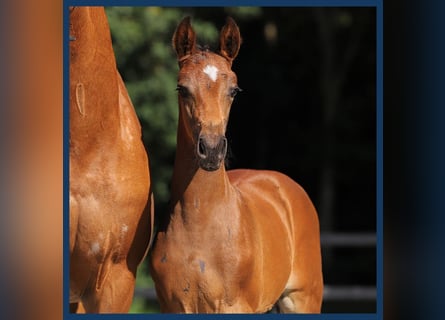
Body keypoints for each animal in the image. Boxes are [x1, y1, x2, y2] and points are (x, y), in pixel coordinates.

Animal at [149, 16, 322, 312]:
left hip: (303, 299)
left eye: (234, 91)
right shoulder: (173, 306)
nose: (211, 150)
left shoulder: (235, 305)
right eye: (182, 88)